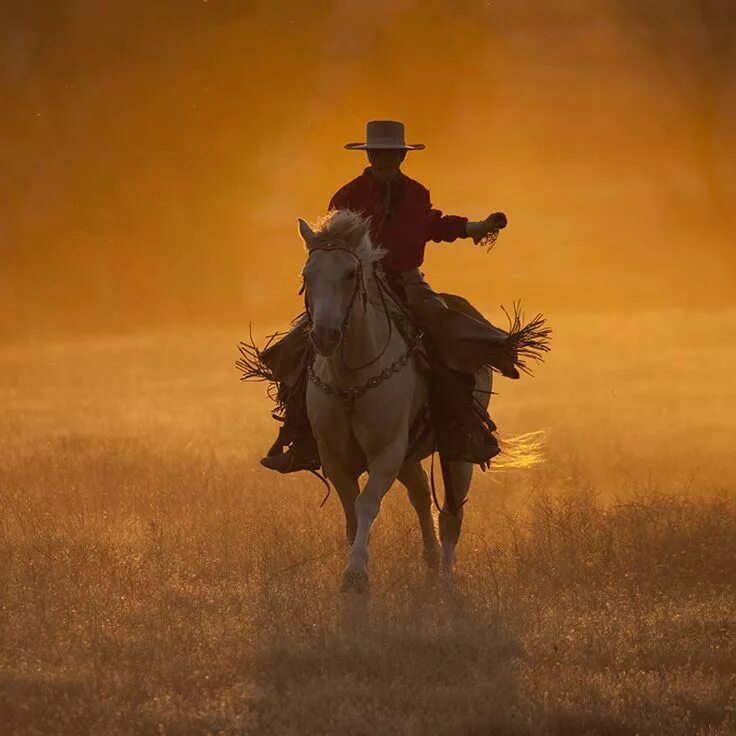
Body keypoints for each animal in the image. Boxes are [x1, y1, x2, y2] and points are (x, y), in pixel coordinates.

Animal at [296, 210, 492, 588]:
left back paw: (445, 577)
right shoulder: (334, 456)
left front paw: (356, 573)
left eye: (350, 273)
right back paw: (430, 562)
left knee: (451, 515)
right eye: (307, 275)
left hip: (457, 453)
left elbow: (367, 503)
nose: (325, 336)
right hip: (410, 457)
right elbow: (351, 512)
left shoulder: (387, 450)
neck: (352, 380)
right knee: (421, 497)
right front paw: (355, 568)